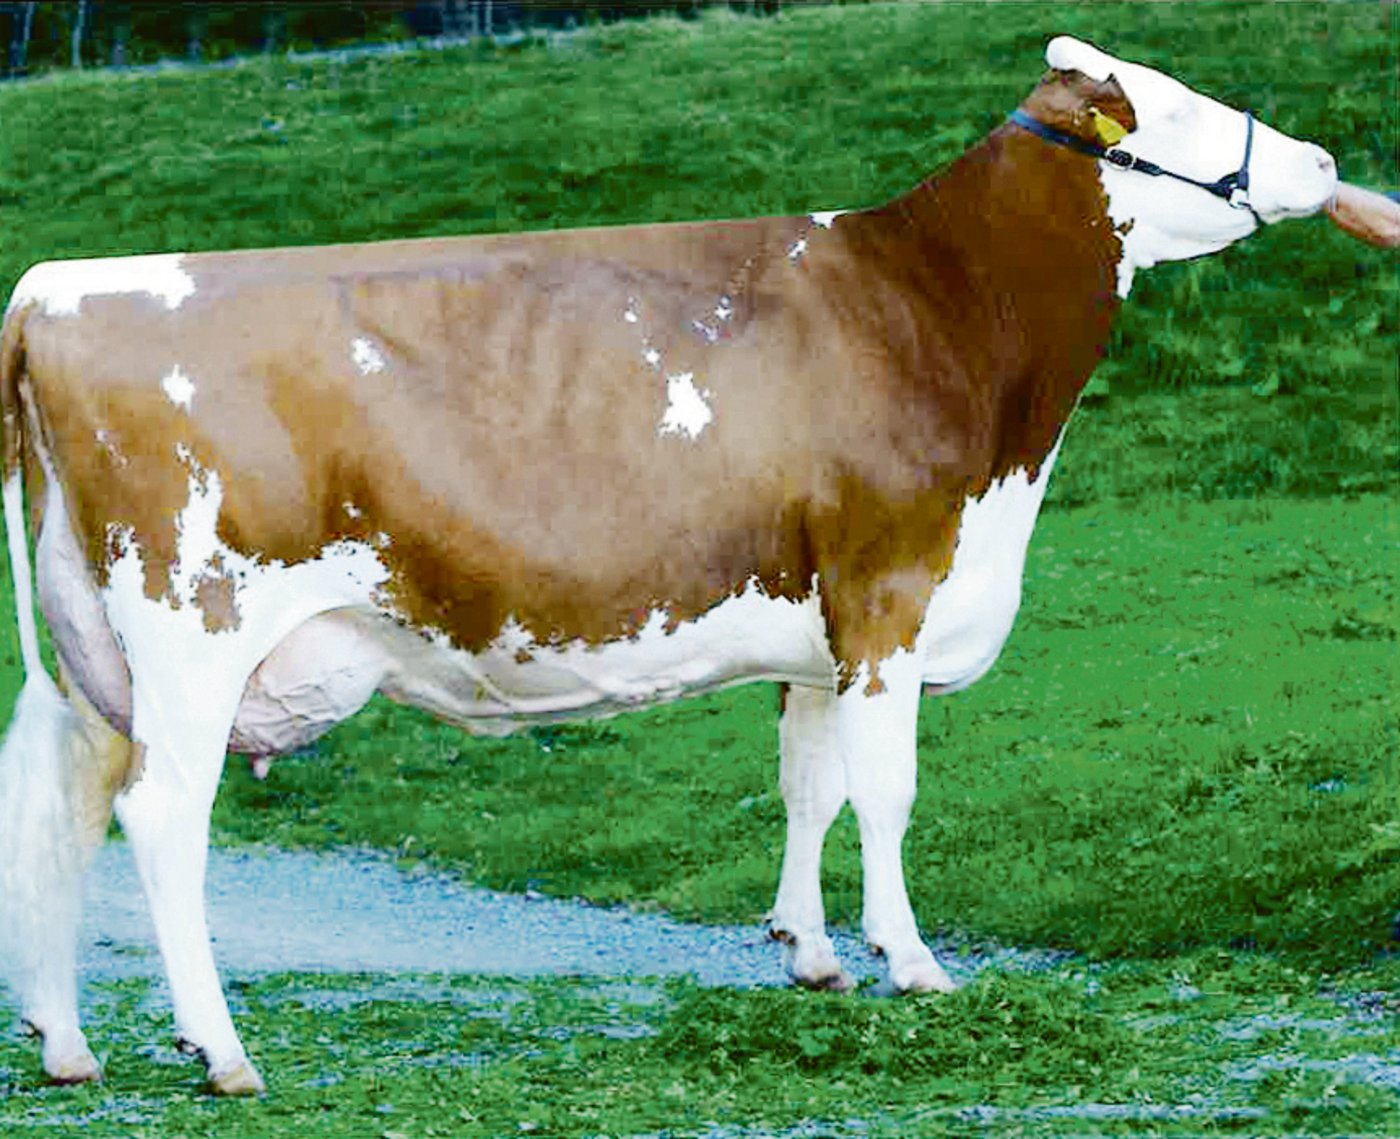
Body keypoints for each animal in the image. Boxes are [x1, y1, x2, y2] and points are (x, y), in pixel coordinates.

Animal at [0, 36, 1337, 1095]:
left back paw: (68, 1044)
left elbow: (810, 785)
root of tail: (61, 284)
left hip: (85, 655)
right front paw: (911, 960)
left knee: (60, 808)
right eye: (1176, 106)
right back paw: (220, 1049)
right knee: (162, 813)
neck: (936, 312)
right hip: (190, 622)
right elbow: (886, 790)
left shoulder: (817, 626)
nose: (1325, 164)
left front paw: (809, 950)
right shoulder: (888, 591)